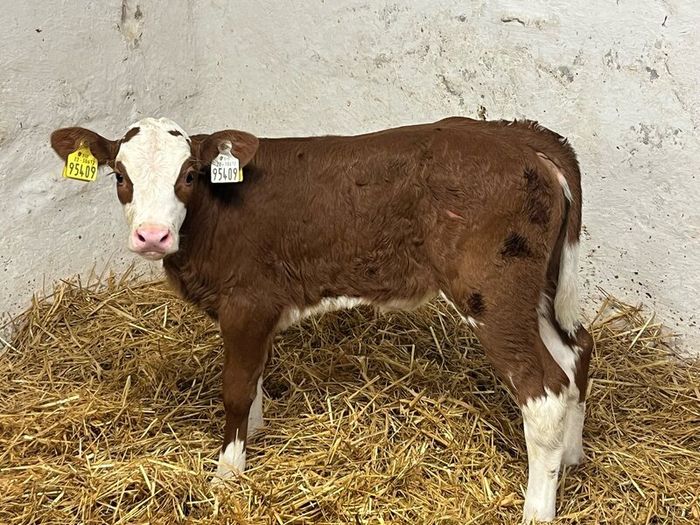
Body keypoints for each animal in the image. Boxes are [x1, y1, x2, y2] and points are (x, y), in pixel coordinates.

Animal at [50, 116, 593, 522]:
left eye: (187, 176)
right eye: (120, 177)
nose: (152, 236)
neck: (212, 218)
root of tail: (517, 137)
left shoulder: (247, 302)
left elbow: (235, 387)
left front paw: (228, 471)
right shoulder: (258, 312)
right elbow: (255, 374)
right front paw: (256, 431)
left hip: (492, 293)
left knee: (544, 388)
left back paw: (536, 510)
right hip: (536, 289)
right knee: (575, 354)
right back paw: (571, 458)